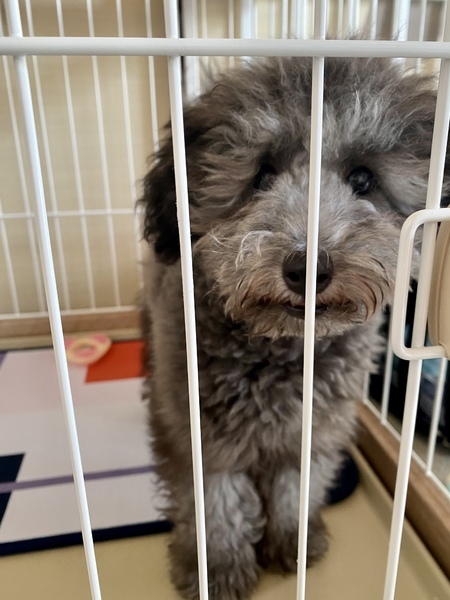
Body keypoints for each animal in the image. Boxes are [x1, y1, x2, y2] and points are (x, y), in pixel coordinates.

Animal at [138, 56, 449, 600]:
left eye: (363, 179)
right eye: (261, 175)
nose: (307, 268)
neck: (283, 348)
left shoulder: (317, 426)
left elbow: (295, 487)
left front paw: (293, 542)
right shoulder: (200, 430)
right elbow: (214, 501)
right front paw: (216, 567)